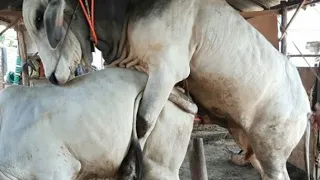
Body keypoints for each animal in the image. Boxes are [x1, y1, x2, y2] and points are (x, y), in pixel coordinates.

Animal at [22, 0, 312, 179]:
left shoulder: (167, 70)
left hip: (273, 151)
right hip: (252, 145)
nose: (52, 77)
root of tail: (306, 106)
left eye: (39, 18)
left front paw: (129, 169)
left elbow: (142, 123)